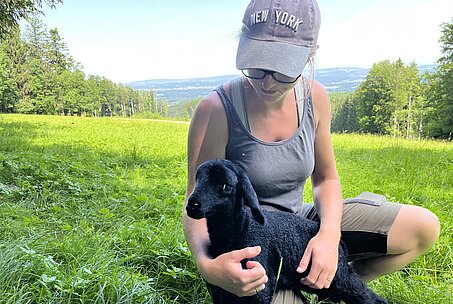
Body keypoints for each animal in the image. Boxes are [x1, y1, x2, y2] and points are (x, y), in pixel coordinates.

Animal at [185, 159, 386, 304]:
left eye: (226, 185)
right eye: (197, 179)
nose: (192, 205)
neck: (241, 228)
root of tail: (340, 244)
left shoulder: (261, 286)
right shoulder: (220, 287)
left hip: (341, 277)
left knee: (372, 299)